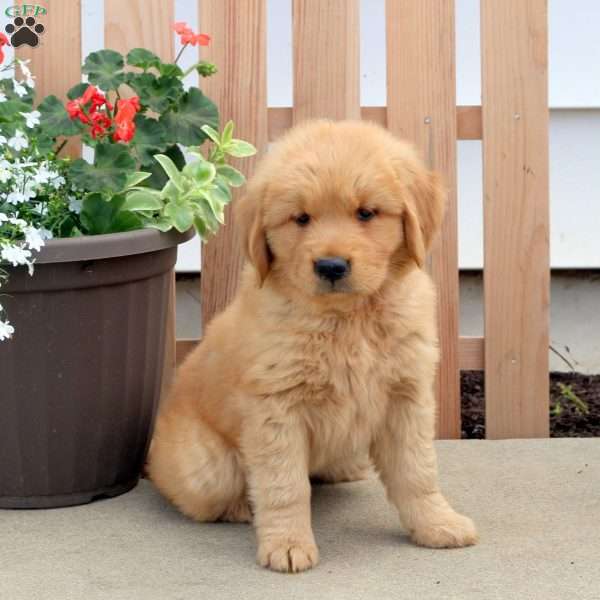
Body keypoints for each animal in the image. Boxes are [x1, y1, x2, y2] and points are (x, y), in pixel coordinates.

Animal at [149, 118, 478, 572]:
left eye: (366, 213)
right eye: (300, 218)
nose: (331, 266)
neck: (347, 319)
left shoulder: (406, 396)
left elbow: (417, 471)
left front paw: (437, 524)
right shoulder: (277, 408)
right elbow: (285, 486)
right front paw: (287, 543)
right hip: (207, 469)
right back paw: (240, 507)